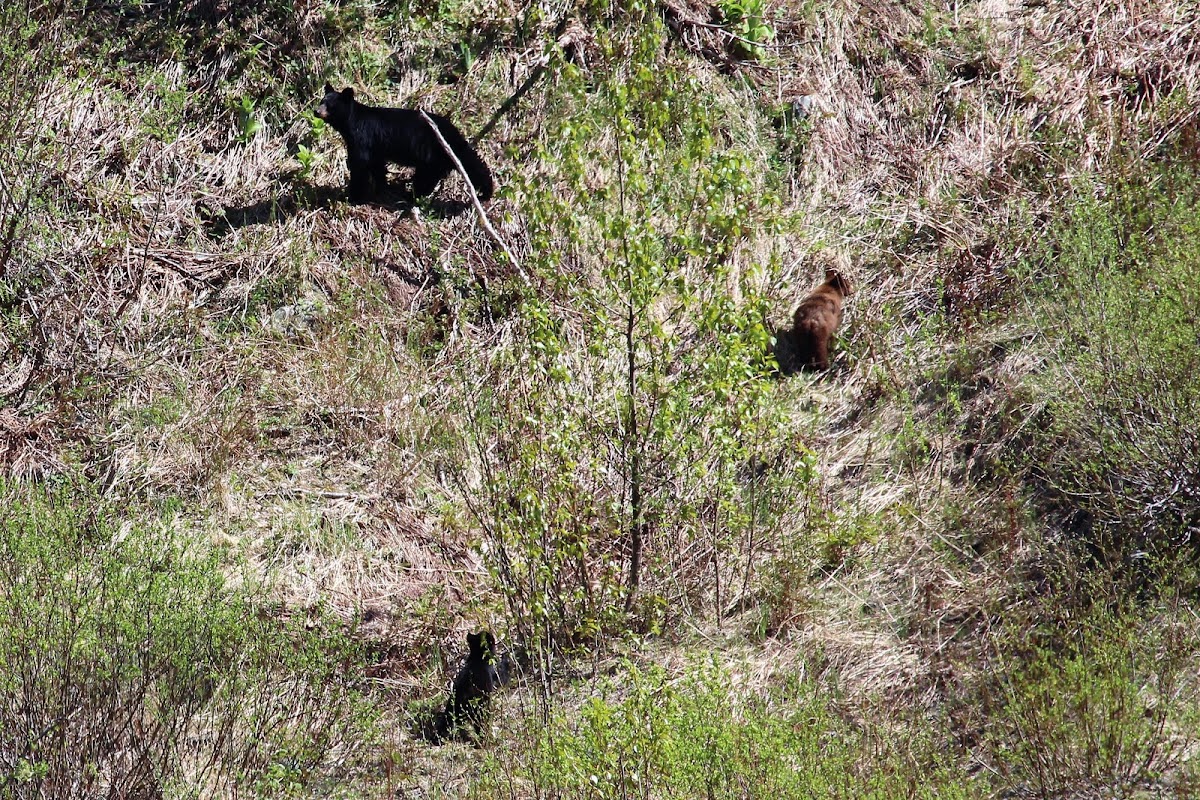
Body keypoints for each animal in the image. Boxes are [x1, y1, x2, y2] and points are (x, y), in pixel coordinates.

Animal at [316, 83, 494, 203]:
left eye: (330, 105)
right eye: (321, 100)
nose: (316, 111)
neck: (350, 124)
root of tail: (455, 135)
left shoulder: (362, 138)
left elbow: (360, 164)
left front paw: (352, 196)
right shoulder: (375, 147)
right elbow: (376, 165)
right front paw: (381, 187)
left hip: (433, 155)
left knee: (426, 179)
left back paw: (411, 195)